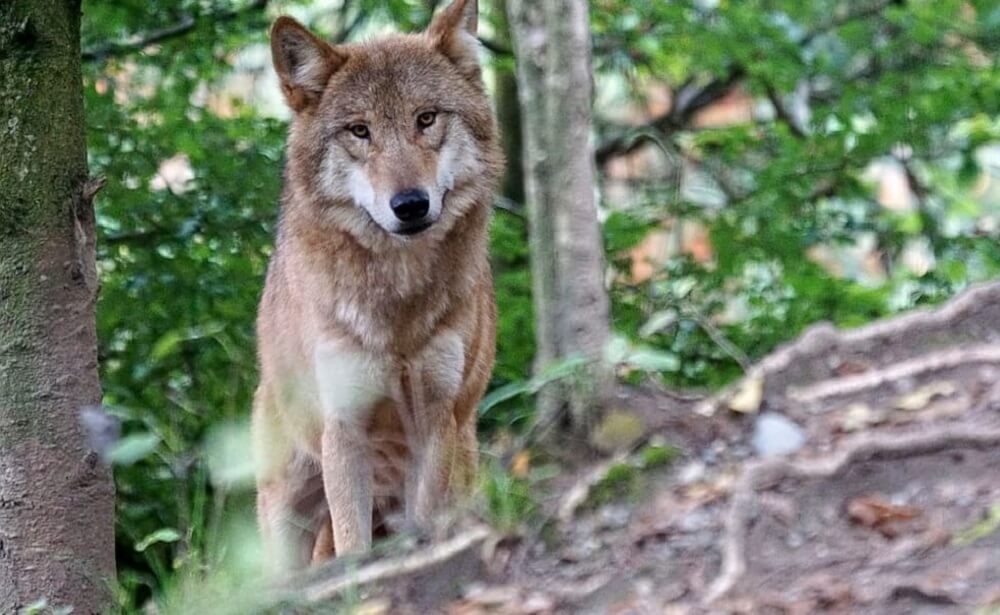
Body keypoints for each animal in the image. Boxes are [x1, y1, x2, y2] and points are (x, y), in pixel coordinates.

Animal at [252, 0, 502, 570]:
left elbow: (426, 520)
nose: (409, 204)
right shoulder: (344, 428)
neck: (397, 306)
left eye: (425, 119)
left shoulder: (435, 418)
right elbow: (353, 543)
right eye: (359, 131)